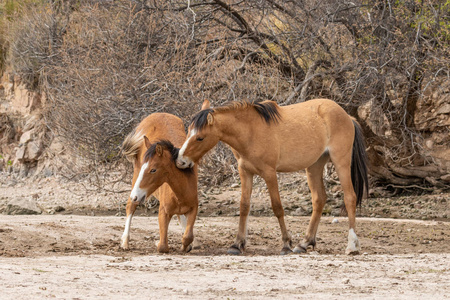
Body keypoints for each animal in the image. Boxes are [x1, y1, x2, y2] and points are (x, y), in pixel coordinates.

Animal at [120, 112, 198, 253]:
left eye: (153, 170)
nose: (135, 196)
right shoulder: (163, 212)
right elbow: (162, 246)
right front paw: (157, 242)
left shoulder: (193, 208)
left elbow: (188, 236)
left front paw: (186, 246)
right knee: (130, 206)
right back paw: (125, 242)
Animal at [174, 99, 368, 254]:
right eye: (188, 131)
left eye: (200, 138)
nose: (180, 161)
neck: (250, 132)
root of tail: (347, 116)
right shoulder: (245, 172)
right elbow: (244, 206)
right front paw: (237, 244)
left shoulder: (269, 173)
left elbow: (277, 207)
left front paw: (286, 244)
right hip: (314, 166)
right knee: (319, 199)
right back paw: (305, 243)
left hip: (341, 162)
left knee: (350, 198)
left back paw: (352, 245)